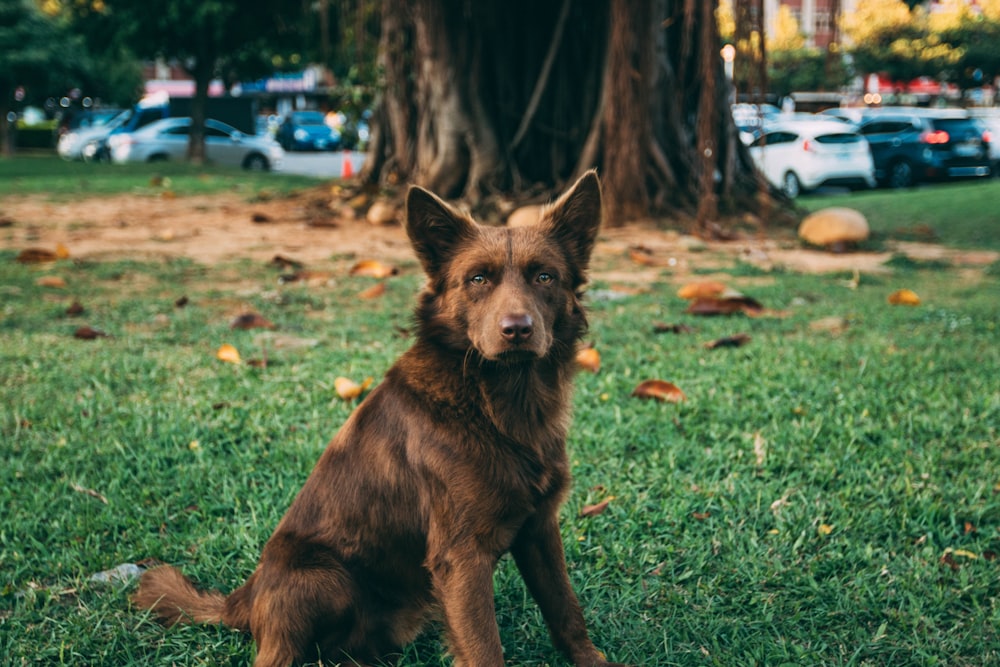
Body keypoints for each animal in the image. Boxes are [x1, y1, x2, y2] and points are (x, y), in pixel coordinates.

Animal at [137, 172, 628, 667]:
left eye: (545, 276)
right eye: (477, 279)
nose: (517, 329)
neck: (499, 403)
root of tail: (245, 598)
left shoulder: (540, 530)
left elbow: (566, 609)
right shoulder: (461, 555)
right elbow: (485, 647)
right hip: (320, 577)